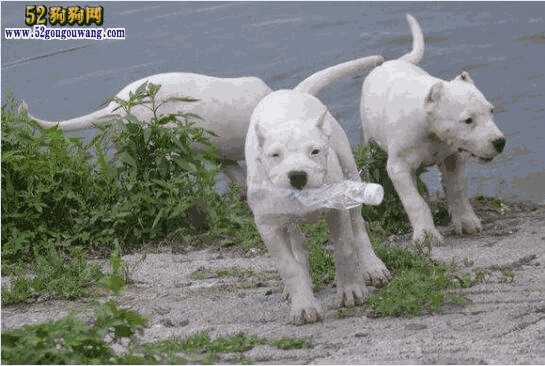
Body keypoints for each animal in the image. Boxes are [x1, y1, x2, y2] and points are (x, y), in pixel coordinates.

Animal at [244, 53, 388, 324]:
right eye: (275, 155)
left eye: (315, 151)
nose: (297, 176)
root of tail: (294, 91)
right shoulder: (269, 226)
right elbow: (289, 266)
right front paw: (303, 306)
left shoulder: (337, 210)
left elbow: (344, 246)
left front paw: (351, 292)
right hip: (287, 221)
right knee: (297, 245)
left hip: (348, 167)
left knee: (358, 226)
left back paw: (373, 267)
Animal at [362, 15, 506, 243]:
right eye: (468, 120)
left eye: (491, 111)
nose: (500, 142)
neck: (429, 127)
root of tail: (394, 62)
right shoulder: (398, 167)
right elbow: (415, 201)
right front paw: (426, 234)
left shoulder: (453, 158)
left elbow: (457, 189)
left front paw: (466, 221)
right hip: (370, 141)